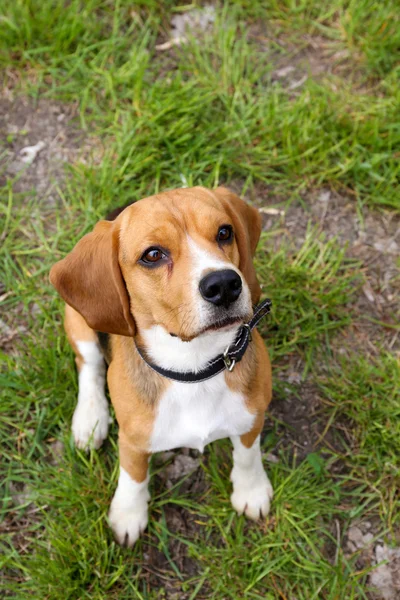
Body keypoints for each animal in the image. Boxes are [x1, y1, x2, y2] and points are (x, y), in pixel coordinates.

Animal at [49, 185, 272, 548]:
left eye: (224, 232)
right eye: (153, 255)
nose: (224, 284)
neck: (194, 368)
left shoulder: (252, 416)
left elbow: (248, 454)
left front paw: (251, 490)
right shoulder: (133, 440)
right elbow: (133, 476)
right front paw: (128, 514)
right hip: (79, 324)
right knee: (89, 366)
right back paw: (90, 419)